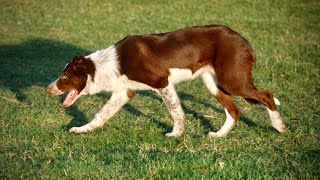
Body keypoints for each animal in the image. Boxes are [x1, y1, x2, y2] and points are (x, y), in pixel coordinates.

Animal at [45, 24, 288, 137]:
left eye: (64, 76)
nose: (47, 89)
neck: (111, 63)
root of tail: (244, 40)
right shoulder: (124, 91)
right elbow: (101, 115)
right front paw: (82, 129)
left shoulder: (162, 82)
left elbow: (175, 111)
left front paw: (176, 134)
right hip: (214, 83)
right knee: (234, 110)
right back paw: (219, 135)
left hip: (232, 80)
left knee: (267, 96)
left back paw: (279, 126)